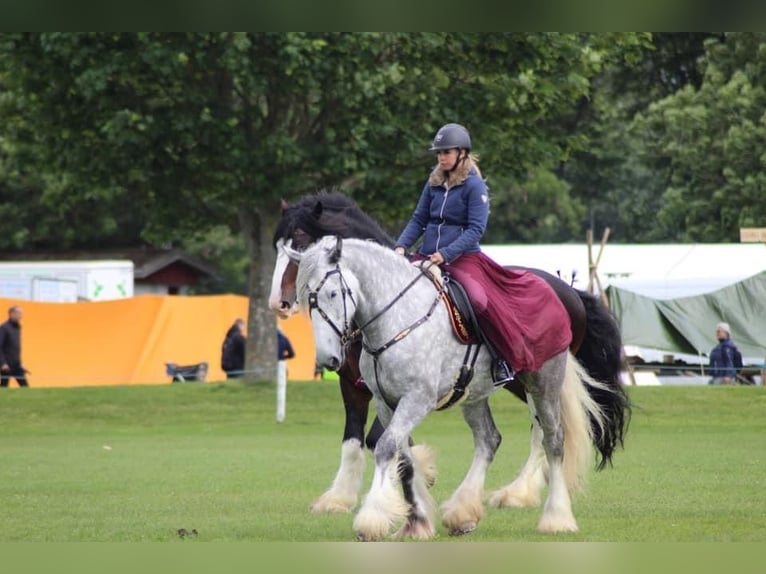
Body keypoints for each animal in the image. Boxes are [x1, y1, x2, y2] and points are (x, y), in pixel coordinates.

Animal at [270, 191, 632, 516]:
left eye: (300, 240)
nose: (279, 303)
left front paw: (417, 478)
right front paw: (340, 497)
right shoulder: (354, 386)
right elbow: (354, 439)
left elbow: (377, 438)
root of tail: (569, 290)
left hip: (533, 379)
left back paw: (518, 492)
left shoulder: (412, 390)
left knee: (544, 428)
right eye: (277, 245)